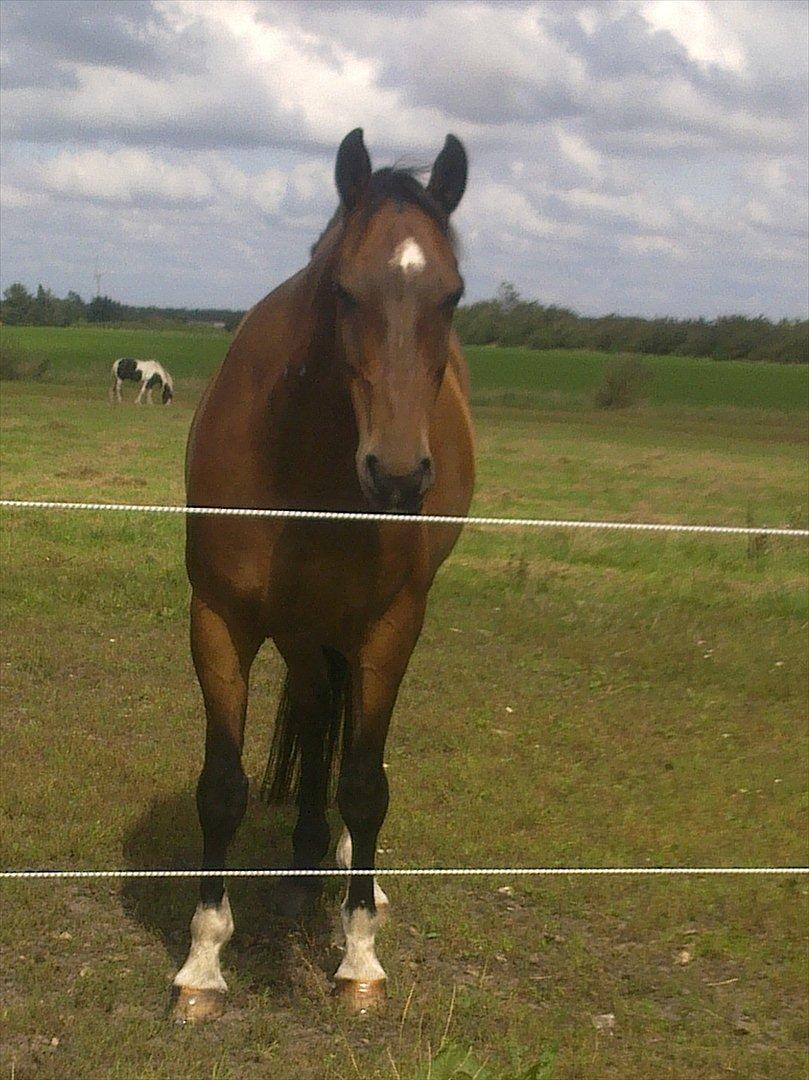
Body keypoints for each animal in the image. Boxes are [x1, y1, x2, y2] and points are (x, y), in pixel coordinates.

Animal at [171, 128, 473, 1019]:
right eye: (343, 289)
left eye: (453, 295)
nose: (399, 475)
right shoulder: (220, 619)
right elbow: (222, 785)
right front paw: (202, 966)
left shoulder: (387, 628)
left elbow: (366, 782)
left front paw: (360, 958)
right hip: (303, 631)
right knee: (313, 707)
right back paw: (303, 860)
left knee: (347, 742)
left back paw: (341, 871)